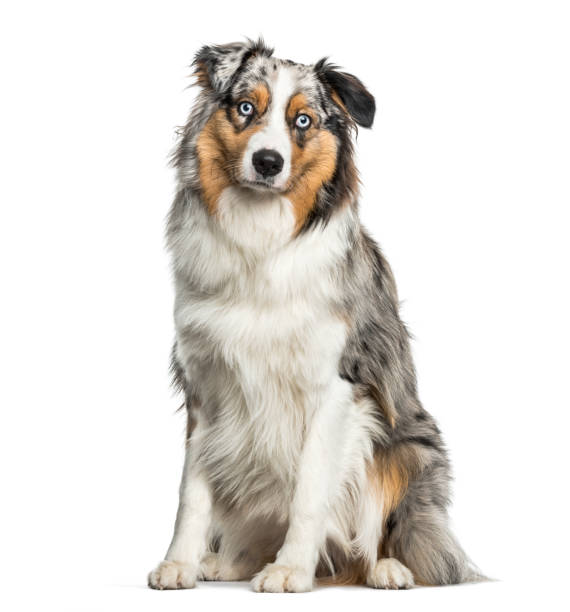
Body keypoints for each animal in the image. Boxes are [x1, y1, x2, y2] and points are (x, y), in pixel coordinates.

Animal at [148, 38, 480, 592]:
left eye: (302, 120)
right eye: (245, 108)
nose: (267, 161)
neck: (261, 242)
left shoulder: (337, 386)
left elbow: (309, 489)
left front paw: (290, 570)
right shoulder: (205, 383)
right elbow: (191, 492)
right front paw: (180, 563)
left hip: (405, 448)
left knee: (384, 534)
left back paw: (385, 568)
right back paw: (226, 563)